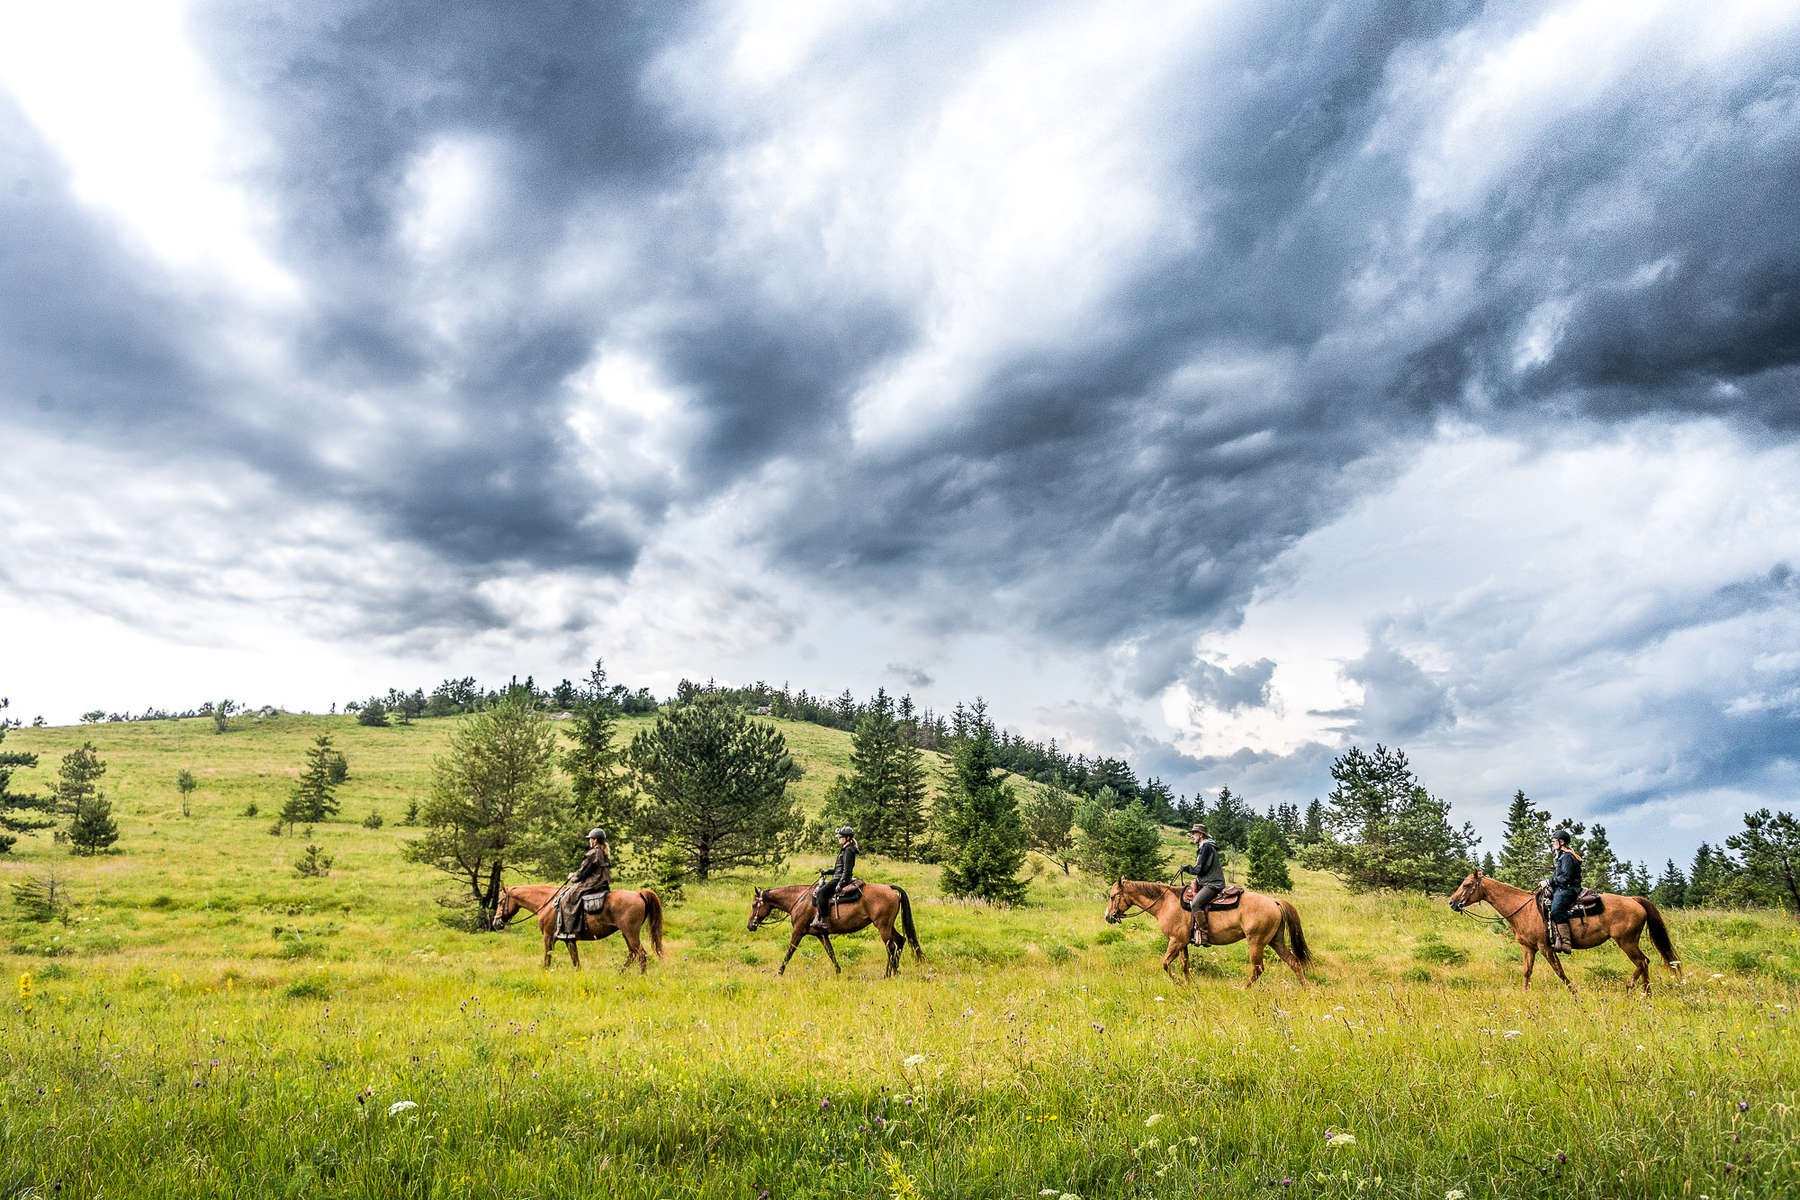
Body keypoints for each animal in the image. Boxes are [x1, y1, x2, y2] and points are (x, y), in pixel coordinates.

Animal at [489, 881, 666, 978]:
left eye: (499, 902)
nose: (496, 922)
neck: (548, 902)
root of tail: (639, 893)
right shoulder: (569, 940)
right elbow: (576, 962)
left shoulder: (548, 937)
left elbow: (547, 958)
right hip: (626, 934)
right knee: (632, 954)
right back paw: (620, 973)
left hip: (630, 933)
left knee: (641, 955)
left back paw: (640, 976)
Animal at [745, 881, 921, 978]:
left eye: (754, 905)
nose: (750, 926)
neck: (799, 900)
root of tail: (890, 888)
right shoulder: (821, 934)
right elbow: (831, 952)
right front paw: (838, 971)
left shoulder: (798, 931)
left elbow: (789, 952)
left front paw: (779, 972)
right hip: (888, 926)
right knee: (901, 941)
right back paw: (896, 971)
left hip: (882, 926)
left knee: (890, 947)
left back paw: (887, 974)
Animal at [1094, 874, 1310, 985]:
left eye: (1112, 896)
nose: (1108, 916)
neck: (1165, 903)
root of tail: (1274, 902)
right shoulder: (1182, 942)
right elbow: (1185, 965)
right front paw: (1190, 985)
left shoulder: (1175, 941)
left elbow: (1165, 964)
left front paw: (1180, 983)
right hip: (1276, 941)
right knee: (1294, 962)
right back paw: (1305, 988)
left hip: (1256, 942)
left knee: (1257, 969)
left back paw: (1243, 989)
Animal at [1440, 874, 1677, 993]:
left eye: (1467, 884)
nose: (1452, 902)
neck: (1523, 909)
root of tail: (1634, 900)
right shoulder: (1528, 948)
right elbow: (1527, 972)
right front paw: (1525, 994)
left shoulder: (1545, 947)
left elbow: (1559, 971)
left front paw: (1574, 991)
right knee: (1644, 962)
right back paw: (1645, 992)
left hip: (1626, 941)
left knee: (1642, 961)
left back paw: (1633, 989)